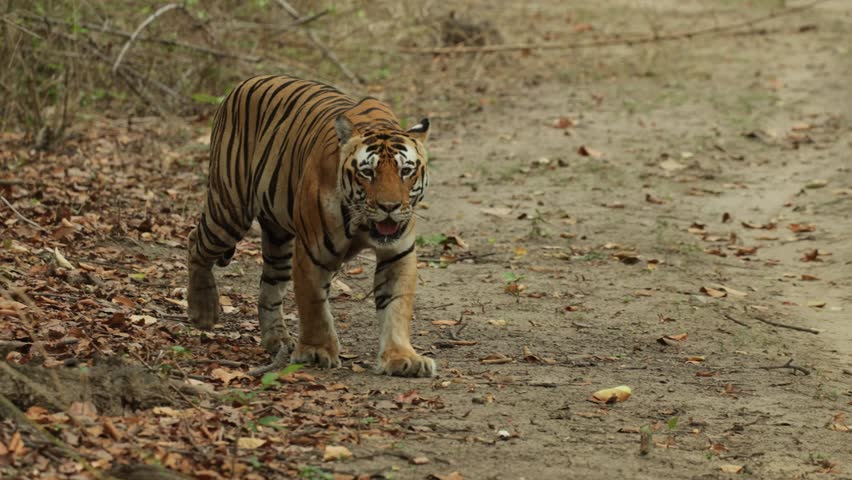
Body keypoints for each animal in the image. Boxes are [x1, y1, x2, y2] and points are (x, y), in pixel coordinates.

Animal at [186, 75, 435, 377]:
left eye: (405, 171)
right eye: (367, 172)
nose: (390, 206)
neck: (363, 224)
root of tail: (244, 82)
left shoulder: (398, 253)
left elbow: (396, 306)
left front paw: (402, 358)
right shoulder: (312, 253)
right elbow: (313, 303)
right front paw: (317, 351)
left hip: (278, 238)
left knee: (270, 286)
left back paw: (277, 339)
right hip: (229, 209)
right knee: (195, 241)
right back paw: (203, 311)